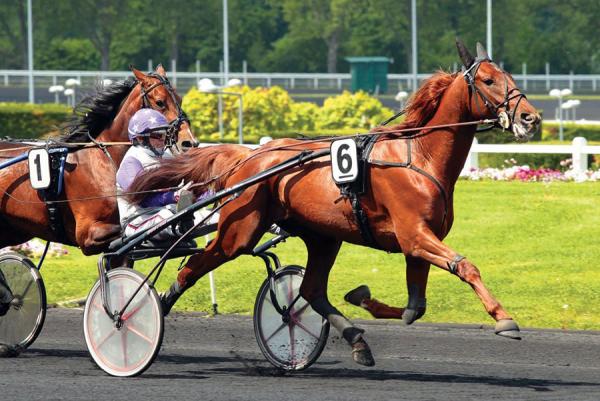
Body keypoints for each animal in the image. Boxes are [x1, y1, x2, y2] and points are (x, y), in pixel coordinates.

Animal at [0, 64, 195, 255]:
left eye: (180, 99)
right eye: (160, 102)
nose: (188, 142)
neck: (106, 160)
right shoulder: (88, 234)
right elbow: (127, 232)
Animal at [132, 41, 544, 366]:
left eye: (508, 75)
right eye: (488, 80)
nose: (531, 117)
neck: (420, 157)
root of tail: (248, 156)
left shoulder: (417, 244)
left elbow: (415, 308)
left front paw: (362, 298)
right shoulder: (415, 236)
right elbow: (465, 267)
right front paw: (504, 319)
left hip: (323, 236)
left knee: (311, 291)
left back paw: (357, 341)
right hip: (240, 231)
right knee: (192, 267)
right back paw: (146, 312)